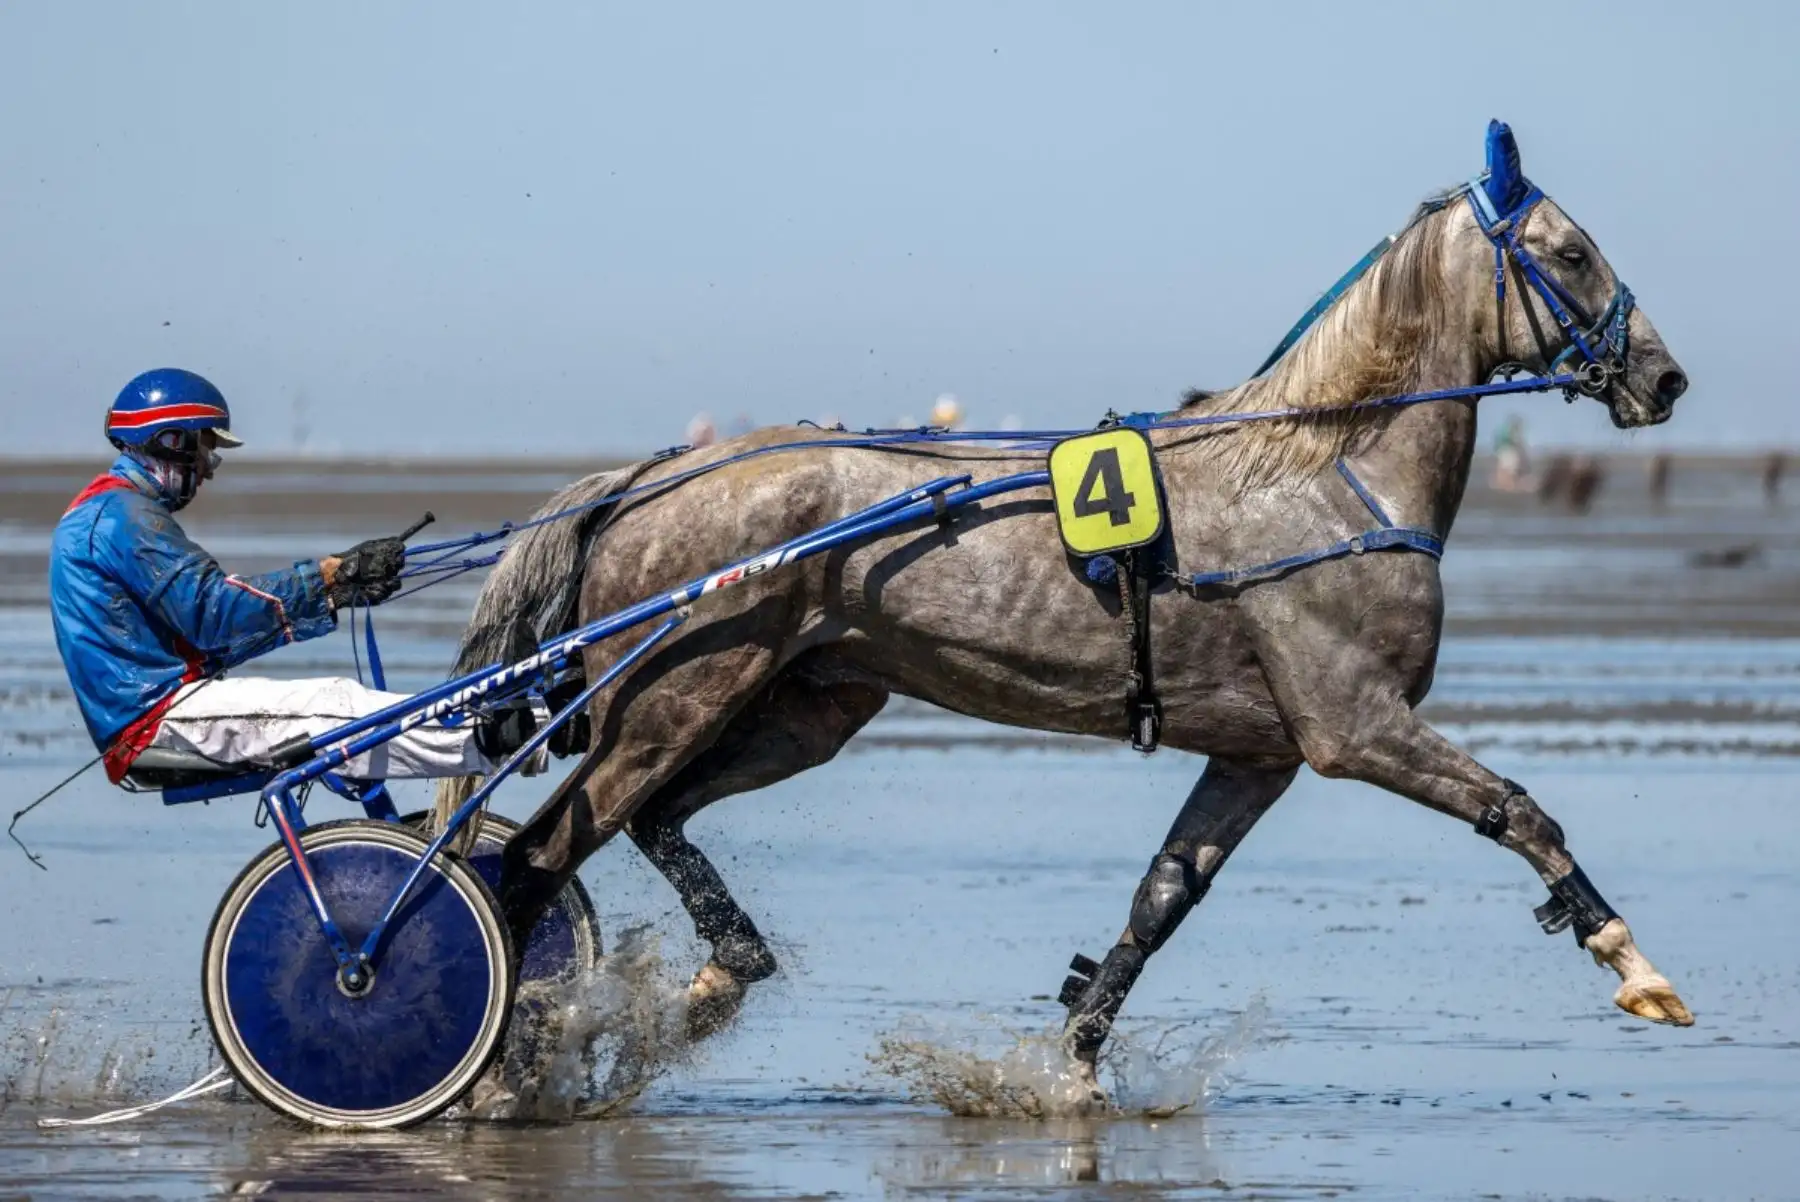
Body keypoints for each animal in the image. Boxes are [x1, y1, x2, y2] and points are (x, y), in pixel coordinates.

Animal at [435, 122, 1692, 1102]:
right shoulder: (1355, 723)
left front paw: (1074, 1064)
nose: (1665, 378)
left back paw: (716, 971)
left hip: (804, 707)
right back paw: (500, 1057)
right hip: (678, 692)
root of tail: (652, 476)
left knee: (651, 818)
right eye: (1571, 252)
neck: (1330, 476)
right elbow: (1521, 811)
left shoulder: (1259, 752)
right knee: (538, 856)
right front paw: (1633, 962)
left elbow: (1160, 901)